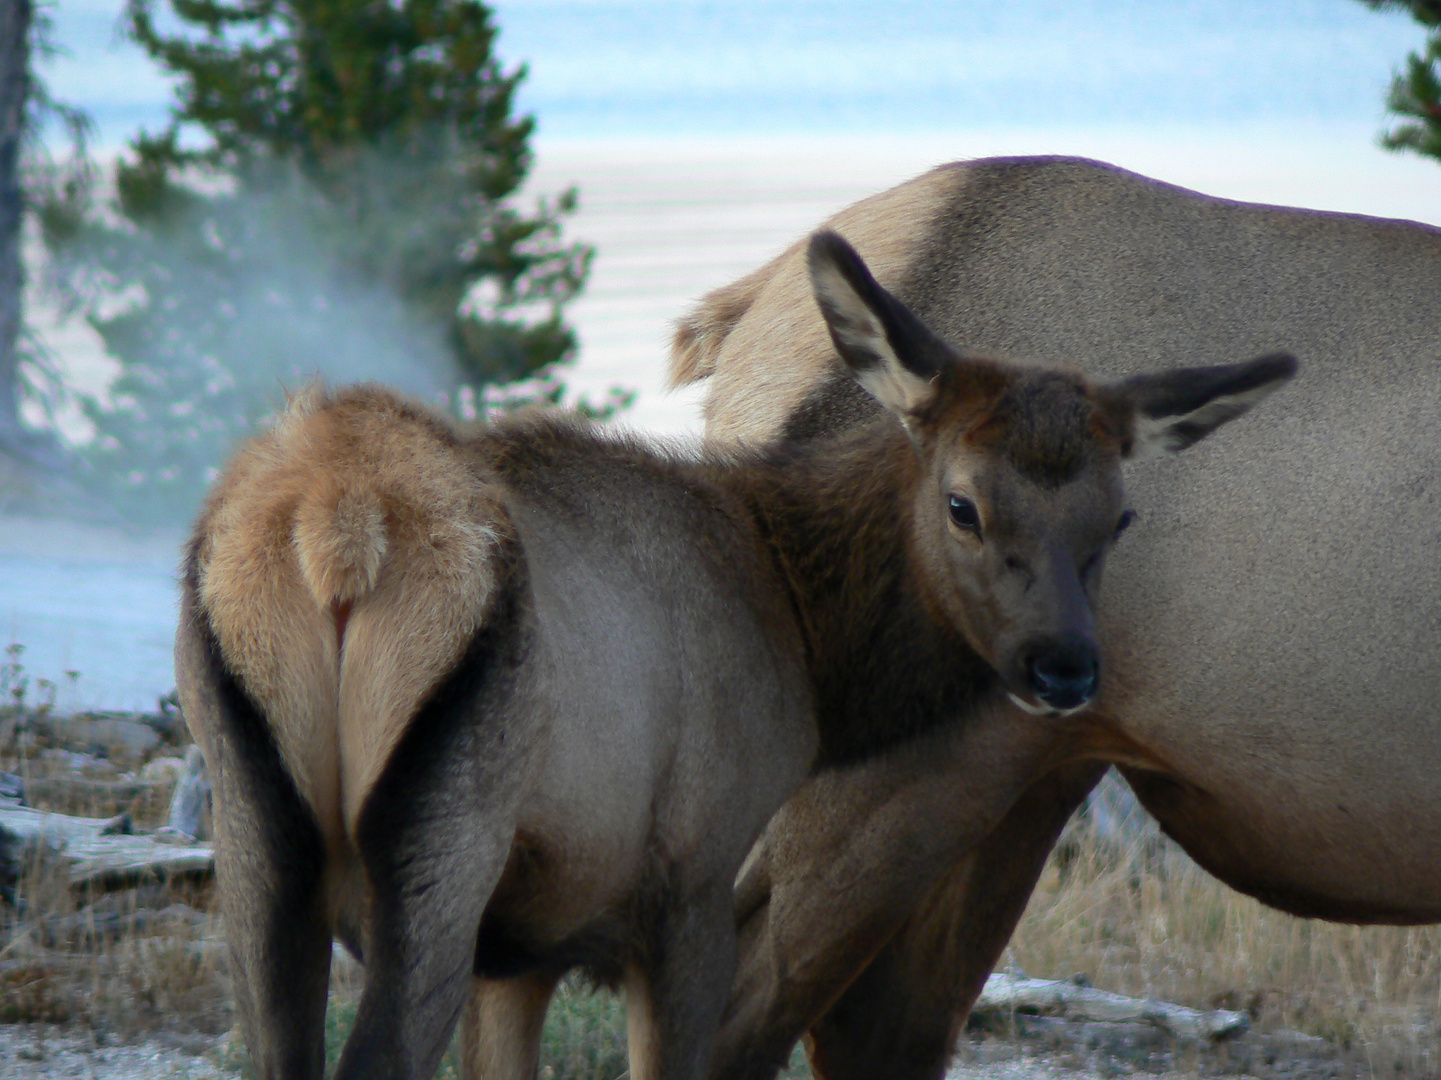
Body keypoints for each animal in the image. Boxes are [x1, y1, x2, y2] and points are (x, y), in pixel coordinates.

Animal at [171, 233, 1296, 1078]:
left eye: (1118, 517)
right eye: (962, 504)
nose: (1065, 667)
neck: (801, 639)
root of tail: (332, 524)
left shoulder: (521, 945)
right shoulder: (687, 876)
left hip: (254, 837)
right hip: (445, 831)